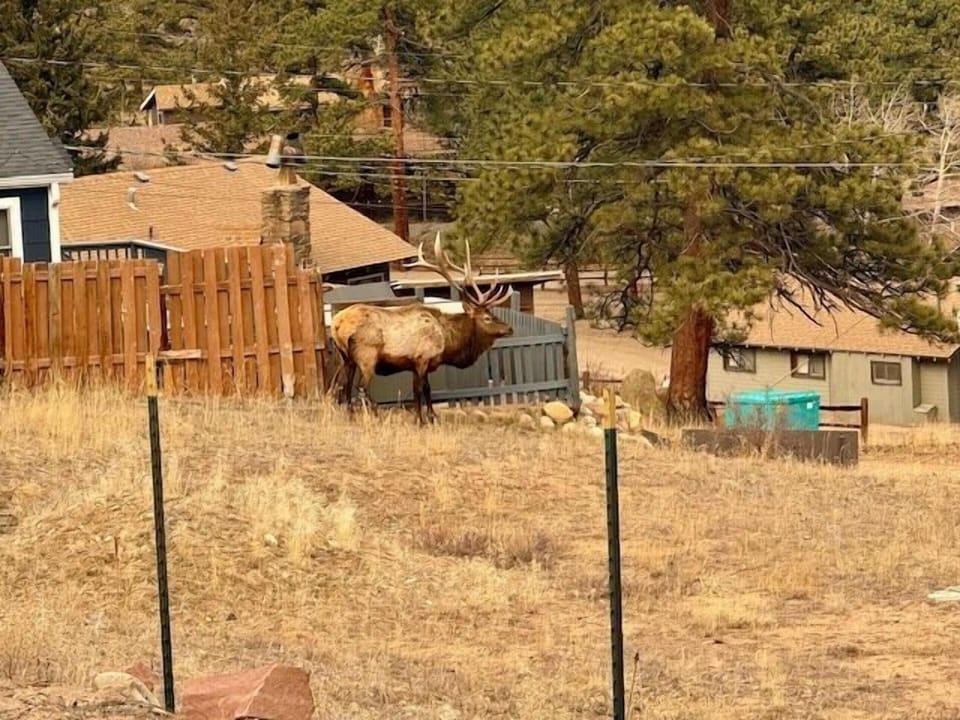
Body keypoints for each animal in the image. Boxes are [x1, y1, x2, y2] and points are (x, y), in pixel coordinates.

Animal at [329, 233, 515, 425]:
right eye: (487, 317)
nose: (509, 328)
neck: (447, 342)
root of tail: (337, 325)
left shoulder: (416, 364)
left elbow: (424, 389)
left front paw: (429, 417)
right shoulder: (422, 359)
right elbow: (420, 390)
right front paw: (421, 419)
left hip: (346, 358)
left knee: (342, 387)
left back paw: (350, 417)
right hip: (367, 356)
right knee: (361, 388)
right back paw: (375, 414)